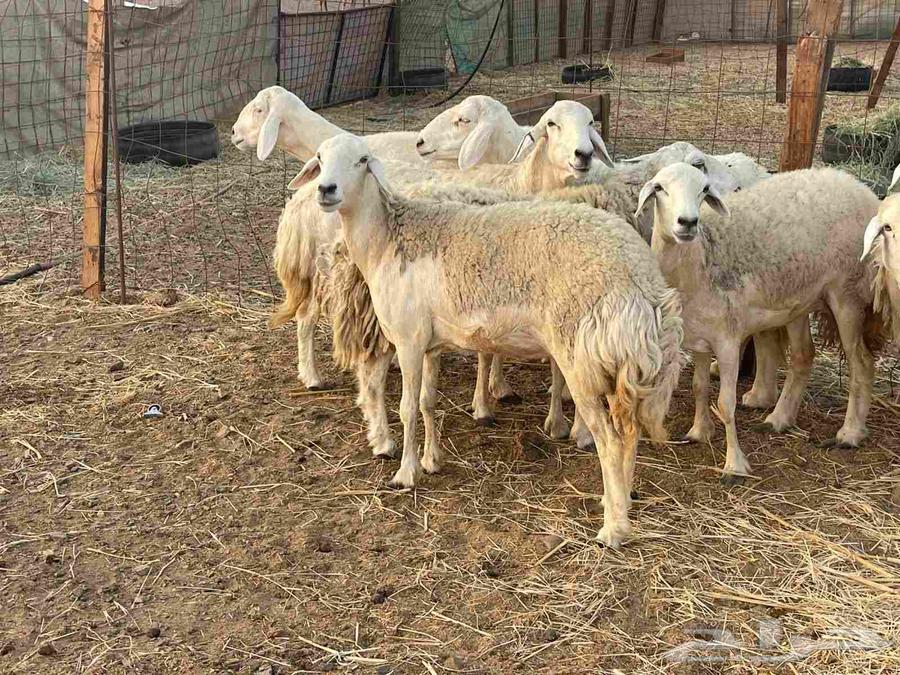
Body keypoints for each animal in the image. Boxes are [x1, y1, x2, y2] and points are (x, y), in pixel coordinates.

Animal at [295, 133, 684, 548]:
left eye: (362, 160)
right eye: (320, 157)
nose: (325, 190)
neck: (387, 240)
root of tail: (645, 286)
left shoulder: (409, 340)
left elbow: (407, 408)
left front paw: (406, 473)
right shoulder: (431, 343)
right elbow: (427, 403)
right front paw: (432, 461)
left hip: (581, 357)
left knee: (609, 440)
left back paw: (613, 528)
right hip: (620, 365)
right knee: (629, 434)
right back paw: (620, 503)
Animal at [636, 162, 880, 484]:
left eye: (703, 189)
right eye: (659, 188)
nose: (688, 223)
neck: (700, 260)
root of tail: (860, 187)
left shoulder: (727, 340)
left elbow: (726, 404)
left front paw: (734, 465)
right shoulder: (699, 337)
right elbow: (699, 387)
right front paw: (699, 432)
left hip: (847, 293)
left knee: (861, 361)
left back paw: (850, 433)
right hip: (799, 299)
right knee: (803, 355)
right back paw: (779, 419)